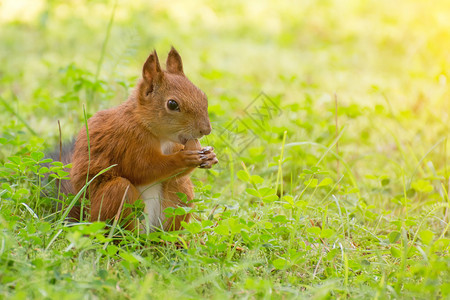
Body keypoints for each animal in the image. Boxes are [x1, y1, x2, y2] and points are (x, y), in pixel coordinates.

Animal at [67, 47, 220, 230]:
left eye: (203, 96)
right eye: (172, 104)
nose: (206, 130)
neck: (159, 136)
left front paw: (210, 156)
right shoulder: (127, 139)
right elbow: (141, 168)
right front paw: (183, 158)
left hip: (180, 194)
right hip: (114, 197)